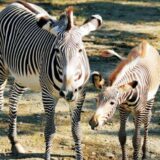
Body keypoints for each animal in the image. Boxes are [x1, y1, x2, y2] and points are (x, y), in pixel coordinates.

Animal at [0, 1, 102, 160]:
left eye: (80, 50)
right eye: (57, 50)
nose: (68, 93)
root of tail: (13, 4)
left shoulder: (80, 95)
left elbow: (77, 131)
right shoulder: (48, 95)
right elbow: (49, 130)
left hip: (22, 76)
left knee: (13, 98)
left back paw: (14, 142)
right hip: (2, 67)